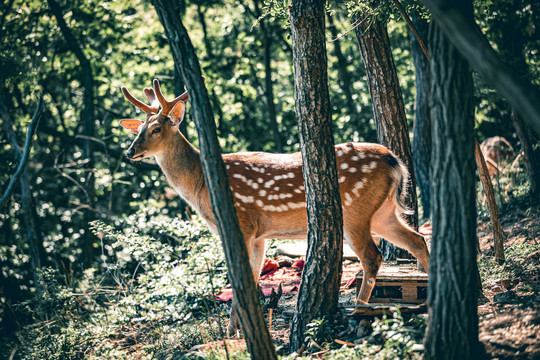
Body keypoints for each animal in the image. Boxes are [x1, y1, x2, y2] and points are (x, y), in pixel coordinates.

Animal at [119, 79, 430, 334]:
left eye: (156, 129)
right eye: (139, 129)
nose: (130, 152)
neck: (200, 186)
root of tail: (395, 161)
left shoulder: (242, 223)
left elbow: (239, 277)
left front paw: (233, 332)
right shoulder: (259, 234)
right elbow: (253, 275)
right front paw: (235, 330)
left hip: (356, 209)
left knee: (372, 256)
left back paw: (359, 309)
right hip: (383, 212)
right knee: (417, 240)